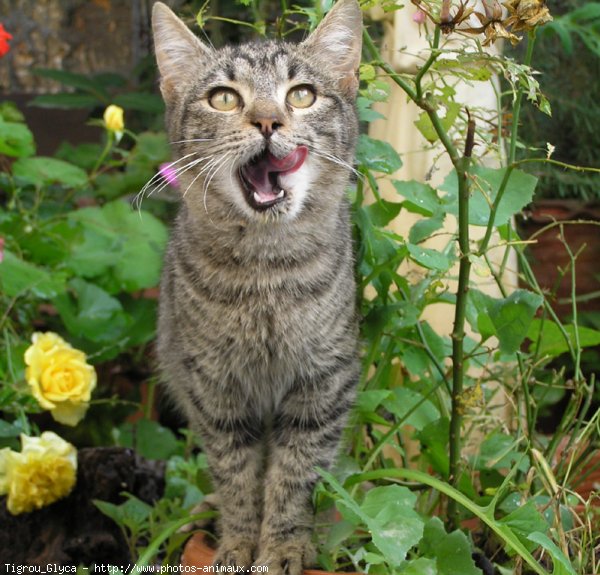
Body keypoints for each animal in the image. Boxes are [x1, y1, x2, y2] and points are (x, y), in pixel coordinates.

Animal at [152, 1, 364, 572]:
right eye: (224, 97)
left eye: (302, 94)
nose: (269, 121)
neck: (265, 271)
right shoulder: (213, 391)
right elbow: (237, 477)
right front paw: (238, 545)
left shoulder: (322, 384)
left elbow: (294, 476)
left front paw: (284, 546)